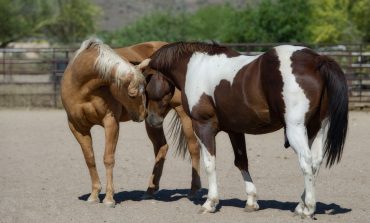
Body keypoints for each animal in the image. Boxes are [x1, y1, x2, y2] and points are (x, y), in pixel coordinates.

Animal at [62, 38, 202, 207]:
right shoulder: (77, 127)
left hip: (182, 114)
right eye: (132, 94)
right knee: (161, 147)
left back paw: (193, 191)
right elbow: (90, 159)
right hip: (154, 120)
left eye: (144, 90)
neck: (81, 86)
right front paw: (94, 195)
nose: (142, 114)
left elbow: (108, 158)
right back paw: (150, 191)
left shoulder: (111, 123)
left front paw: (109, 198)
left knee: (193, 147)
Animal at [145, 41, 350, 218]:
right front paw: (251, 201)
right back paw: (301, 205)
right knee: (316, 161)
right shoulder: (235, 130)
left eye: (146, 87)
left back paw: (308, 209)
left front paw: (210, 203)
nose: (151, 120)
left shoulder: (203, 126)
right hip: (316, 128)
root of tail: (316, 61)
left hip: (296, 129)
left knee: (306, 162)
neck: (196, 66)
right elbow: (241, 162)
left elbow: (210, 164)